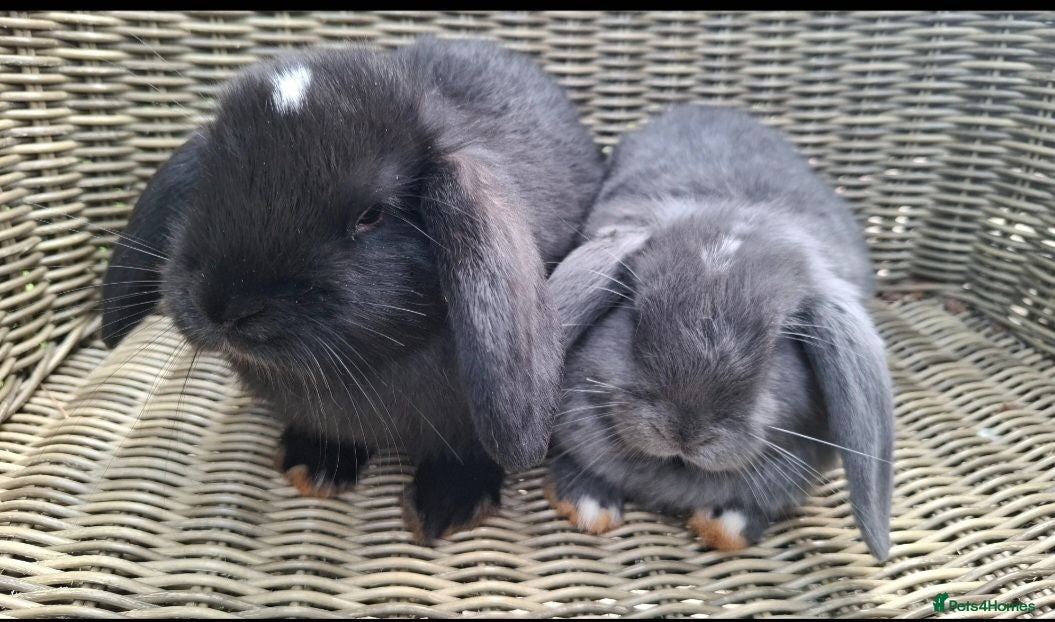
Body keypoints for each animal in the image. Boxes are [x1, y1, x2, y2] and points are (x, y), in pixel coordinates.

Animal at [101, 37, 605, 543]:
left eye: (371, 215)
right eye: (209, 184)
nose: (225, 307)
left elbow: (467, 452)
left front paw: (446, 505)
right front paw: (316, 465)